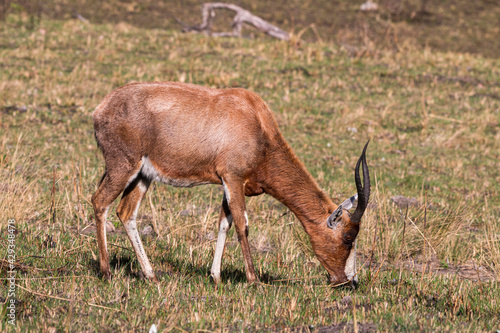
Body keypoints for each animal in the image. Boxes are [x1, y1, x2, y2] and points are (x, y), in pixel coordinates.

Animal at [92, 81, 370, 286]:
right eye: (348, 237)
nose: (349, 281)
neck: (255, 120)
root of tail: (101, 108)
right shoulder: (233, 179)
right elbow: (241, 224)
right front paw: (254, 280)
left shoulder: (231, 184)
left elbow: (223, 223)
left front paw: (215, 277)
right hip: (123, 167)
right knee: (100, 201)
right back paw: (106, 272)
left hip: (142, 176)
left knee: (125, 212)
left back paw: (150, 275)